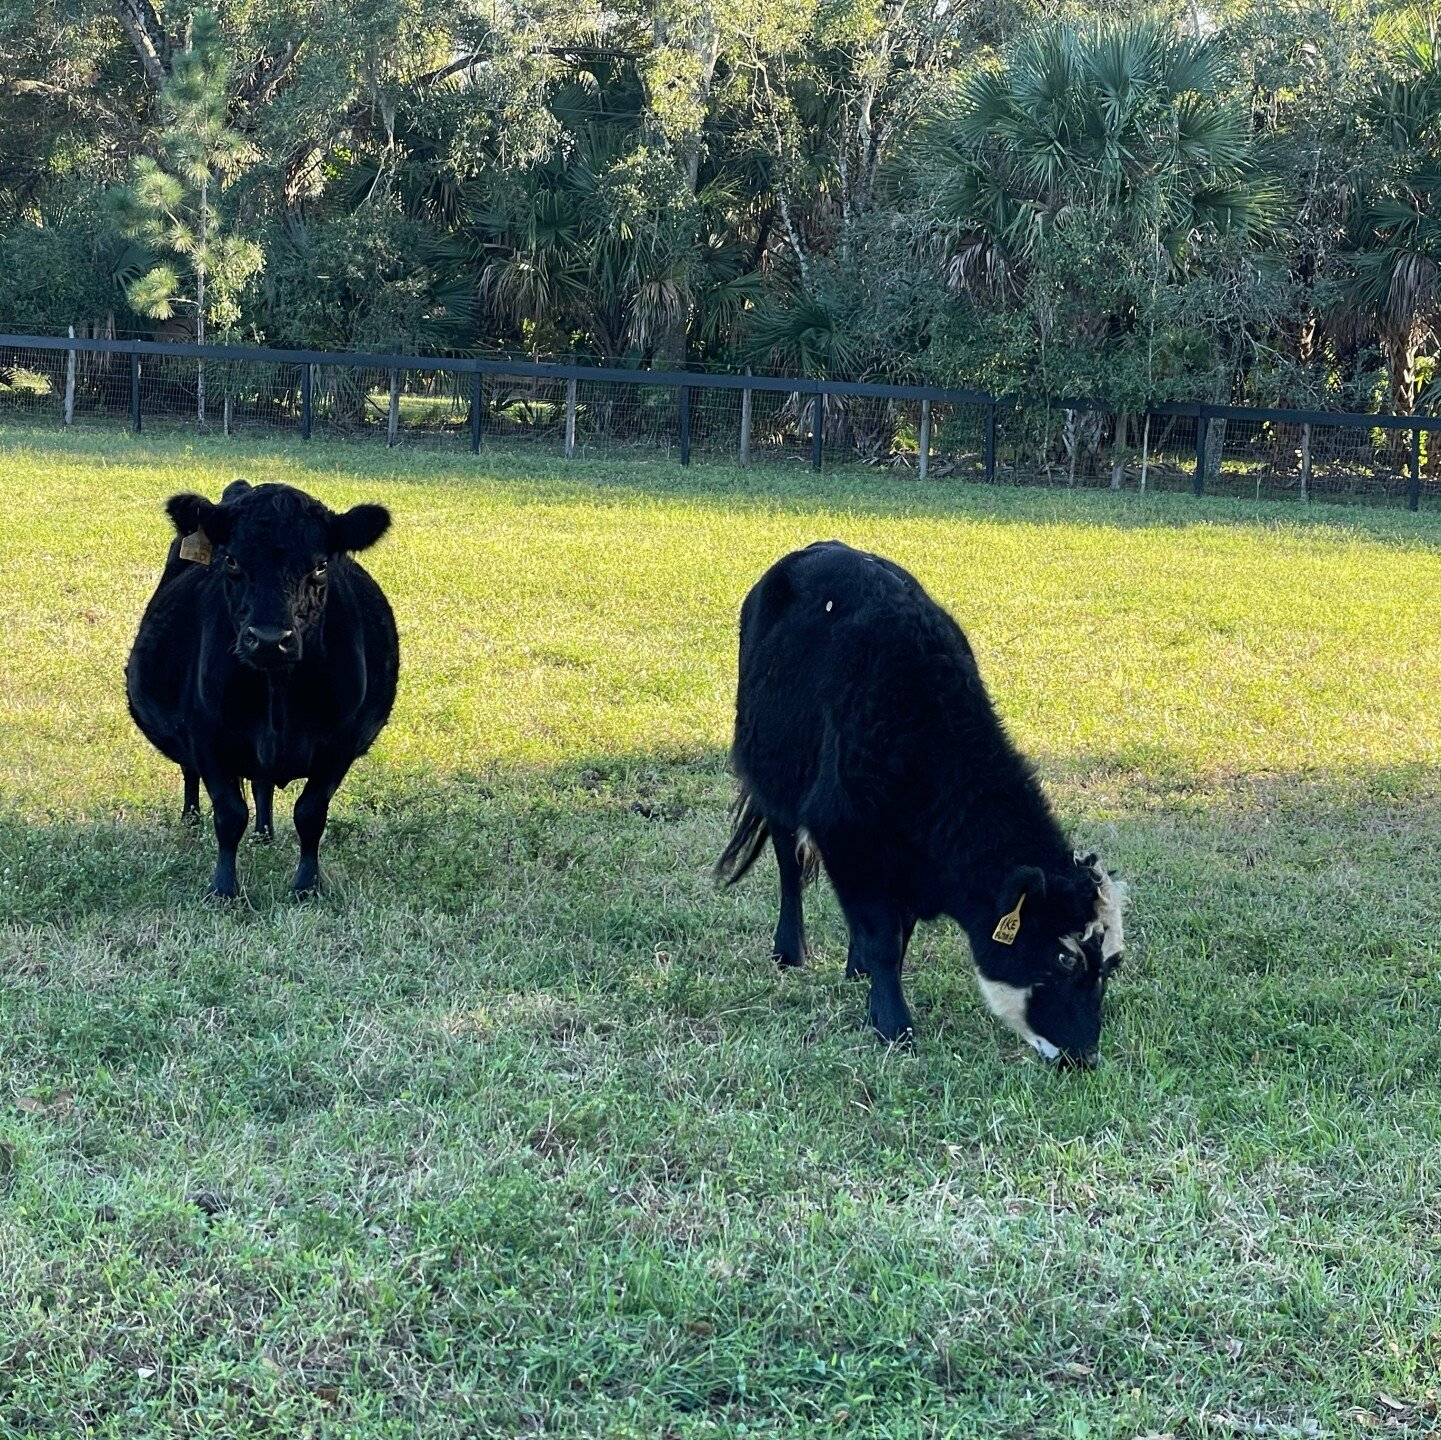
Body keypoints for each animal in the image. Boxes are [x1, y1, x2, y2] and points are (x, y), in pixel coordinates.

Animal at [126, 479, 400, 900]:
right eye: (231, 561)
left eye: (321, 565)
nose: (270, 639)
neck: (278, 691)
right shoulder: (204, 734)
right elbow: (228, 813)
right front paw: (224, 889)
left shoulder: (341, 743)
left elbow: (310, 812)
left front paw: (306, 886)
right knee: (194, 774)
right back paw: (191, 820)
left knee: (262, 782)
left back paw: (265, 834)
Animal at [716, 541, 1124, 1066]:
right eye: (1061, 957)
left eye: (1108, 966)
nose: (1086, 1054)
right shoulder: (846, 834)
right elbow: (883, 939)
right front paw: (893, 1025)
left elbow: (897, 931)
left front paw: (871, 987)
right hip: (775, 779)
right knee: (789, 863)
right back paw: (789, 951)